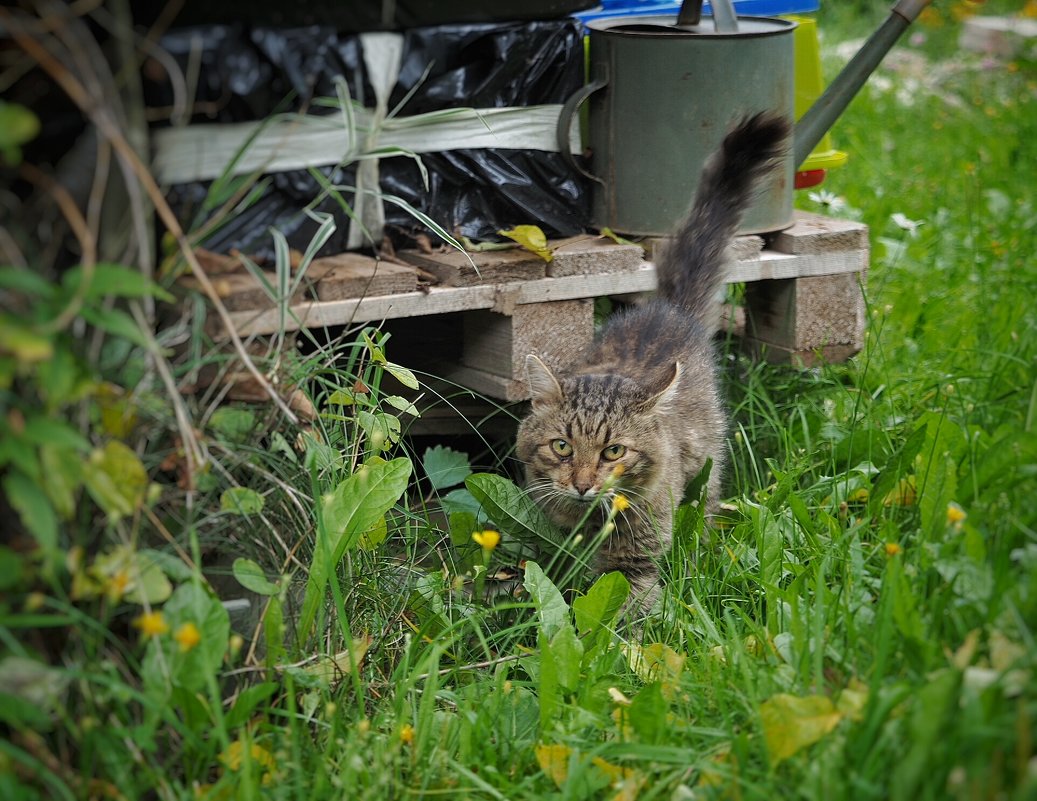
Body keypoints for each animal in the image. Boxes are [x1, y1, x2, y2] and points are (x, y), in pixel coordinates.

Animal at [514, 111, 788, 614]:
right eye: (562, 447)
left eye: (614, 452)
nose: (582, 484)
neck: (590, 520)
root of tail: (667, 309)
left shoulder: (635, 560)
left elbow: (624, 612)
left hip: (704, 471)